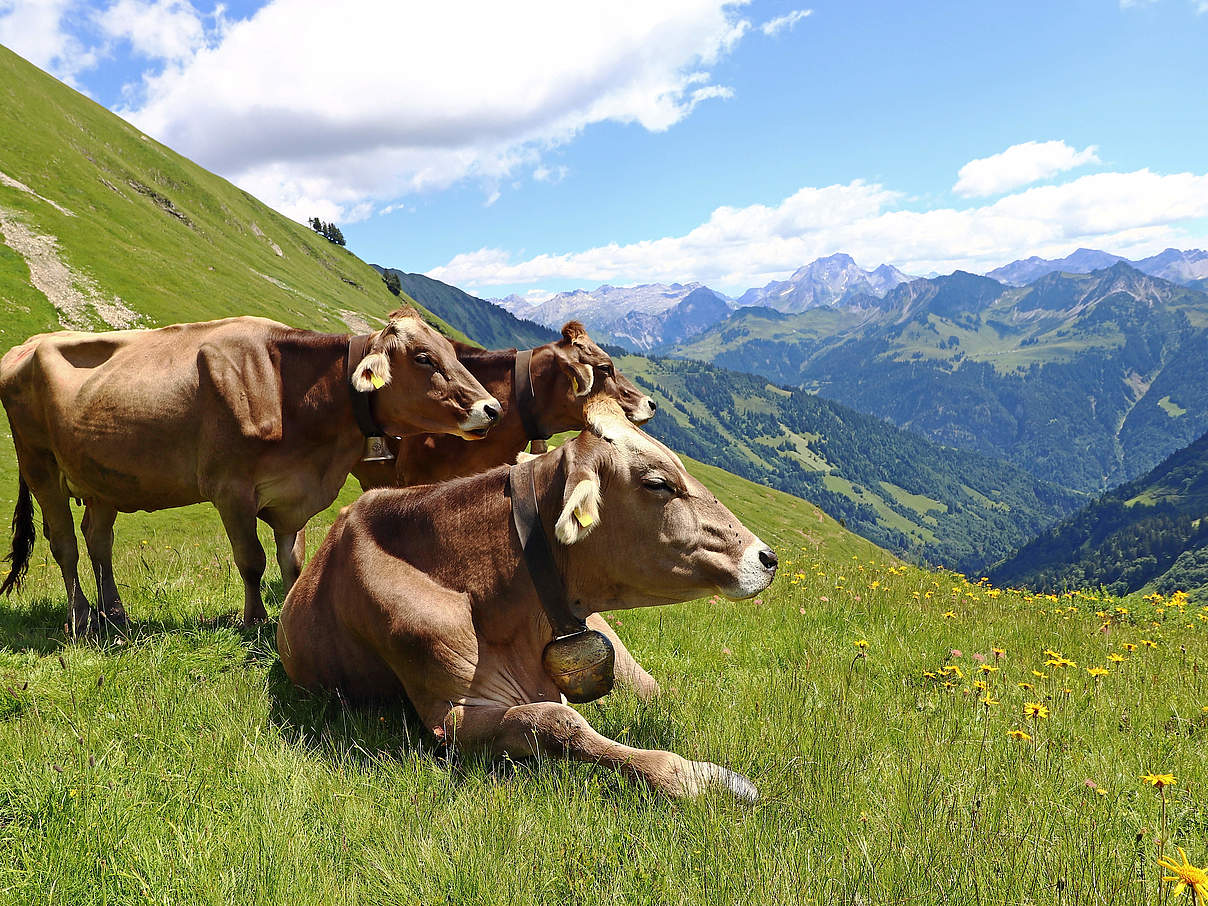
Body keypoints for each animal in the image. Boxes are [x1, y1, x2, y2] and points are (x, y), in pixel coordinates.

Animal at [0, 309, 500, 632]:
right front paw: (255, 620)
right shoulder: (231, 490)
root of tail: (26, 346)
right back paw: (82, 617)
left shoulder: (292, 493)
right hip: (39, 463)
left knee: (97, 538)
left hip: (102, 477)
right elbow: (252, 560)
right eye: (422, 358)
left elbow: (292, 562)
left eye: (448, 350)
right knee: (65, 544)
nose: (491, 408)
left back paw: (115, 614)